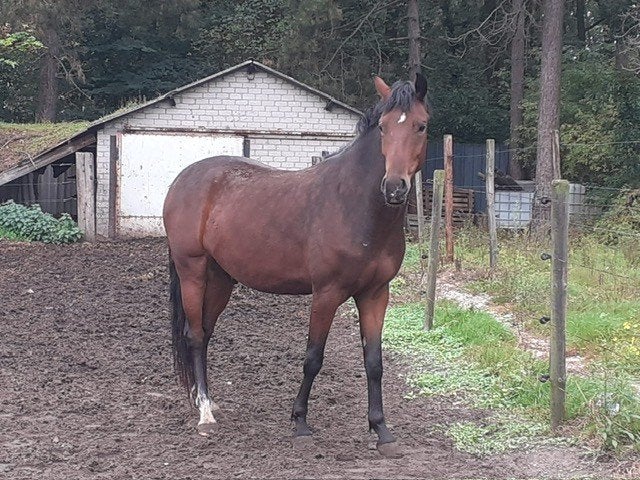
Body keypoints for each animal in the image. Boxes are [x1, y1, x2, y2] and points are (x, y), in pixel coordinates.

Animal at [163, 73, 429, 456]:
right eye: (383, 127)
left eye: (421, 126)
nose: (394, 187)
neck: (354, 207)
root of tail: (184, 179)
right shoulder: (326, 294)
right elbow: (313, 357)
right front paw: (300, 422)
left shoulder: (376, 294)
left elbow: (374, 362)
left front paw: (381, 430)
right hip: (192, 271)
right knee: (195, 336)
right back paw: (204, 415)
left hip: (221, 278)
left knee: (206, 332)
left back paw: (208, 400)